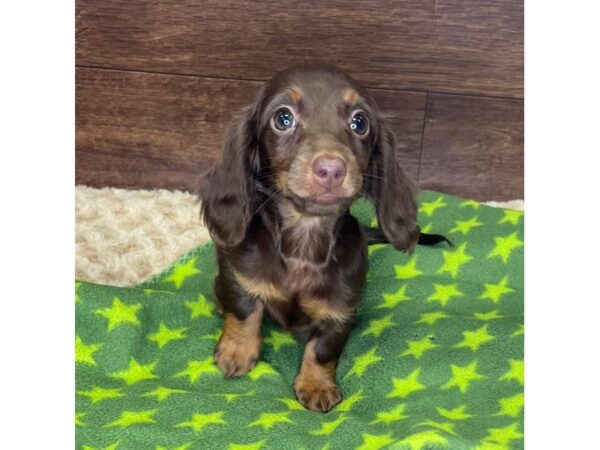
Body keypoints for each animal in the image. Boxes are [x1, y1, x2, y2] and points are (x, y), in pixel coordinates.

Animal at [199, 62, 438, 412]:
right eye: (283, 118)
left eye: (360, 122)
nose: (331, 170)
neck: (305, 237)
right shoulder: (238, 272)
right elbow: (245, 311)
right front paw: (237, 352)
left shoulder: (342, 308)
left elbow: (324, 348)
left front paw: (316, 384)